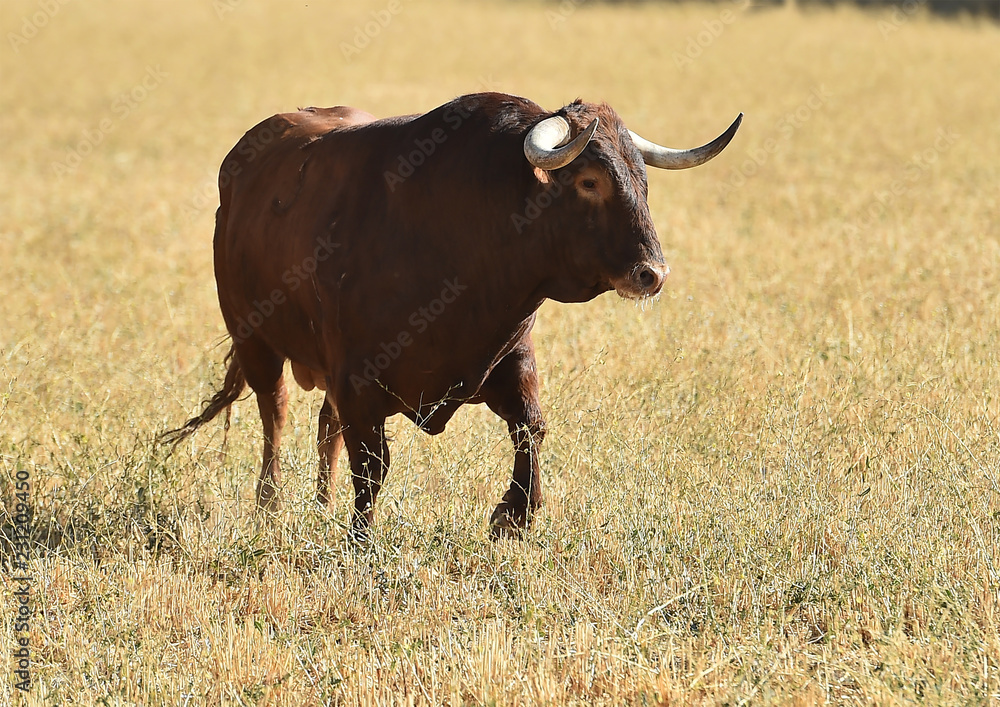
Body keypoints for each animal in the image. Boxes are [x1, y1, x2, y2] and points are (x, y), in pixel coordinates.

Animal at [164, 92, 740, 536]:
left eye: (642, 178)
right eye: (590, 181)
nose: (652, 273)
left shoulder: (507, 358)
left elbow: (531, 428)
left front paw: (514, 515)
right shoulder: (358, 379)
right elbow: (371, 466)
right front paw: (359, 540)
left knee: (325, 426)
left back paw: (321, 503)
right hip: (255, 340)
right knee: (275, 414)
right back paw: (270, 504)